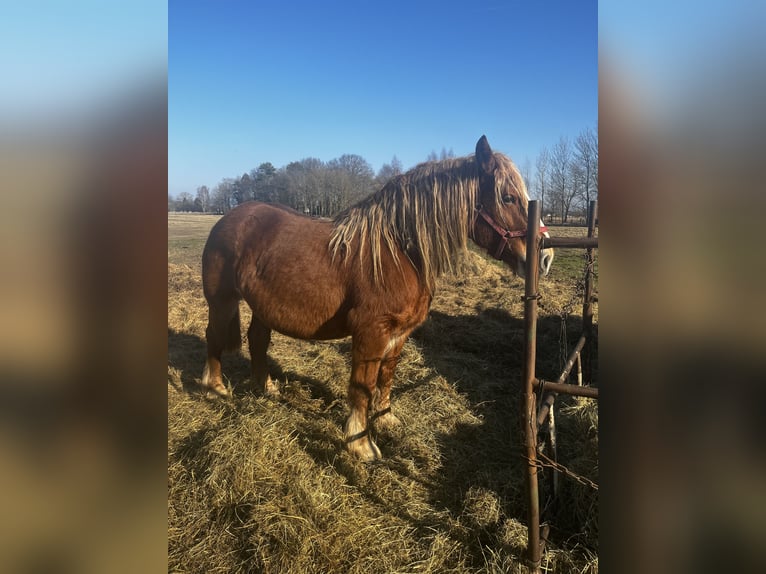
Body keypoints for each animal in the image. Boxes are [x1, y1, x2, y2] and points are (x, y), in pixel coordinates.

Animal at [201, 136, 556, 464]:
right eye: (507, 197)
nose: (546, 257)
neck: (397, 251)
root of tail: (229, 217)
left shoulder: (399, 333)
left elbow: (386, 378)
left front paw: (385, 419)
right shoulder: (371, 332)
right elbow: (362, 385)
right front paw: (360, 443)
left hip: (262, 306)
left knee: (257, 340)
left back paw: (266, 387)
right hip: (221, 301)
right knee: (214, 336)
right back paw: (215, 388)